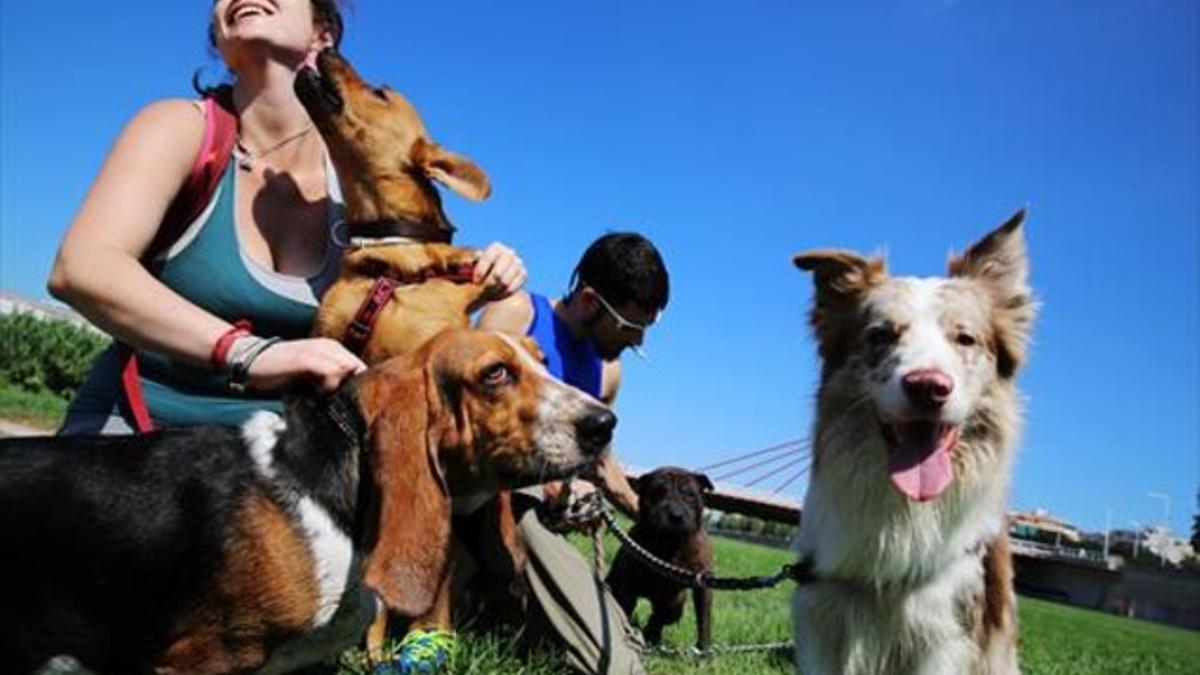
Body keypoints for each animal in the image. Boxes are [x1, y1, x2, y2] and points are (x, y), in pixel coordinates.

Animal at [609, 466, 710, 648]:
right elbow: (624, 603)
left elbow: (704, 620)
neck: (670, 543)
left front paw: (704, 650)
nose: (676, 514)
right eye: (658, 493)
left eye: (690, 495)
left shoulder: (703, 583)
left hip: (677, 601)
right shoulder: (626, 578)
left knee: (667, 613)